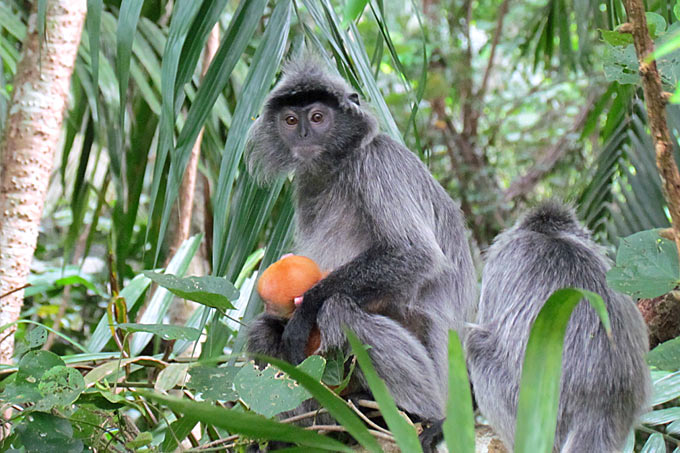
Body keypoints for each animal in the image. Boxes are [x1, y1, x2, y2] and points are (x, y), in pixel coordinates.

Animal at [244, 57, 477, 452]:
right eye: (290, 120)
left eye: (317, 117)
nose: (303, 136)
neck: (339, 166)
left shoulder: (379, 163)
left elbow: (414, 255)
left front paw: (304, 312)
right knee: (264, 331)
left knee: (339, 308)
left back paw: (414, 416)